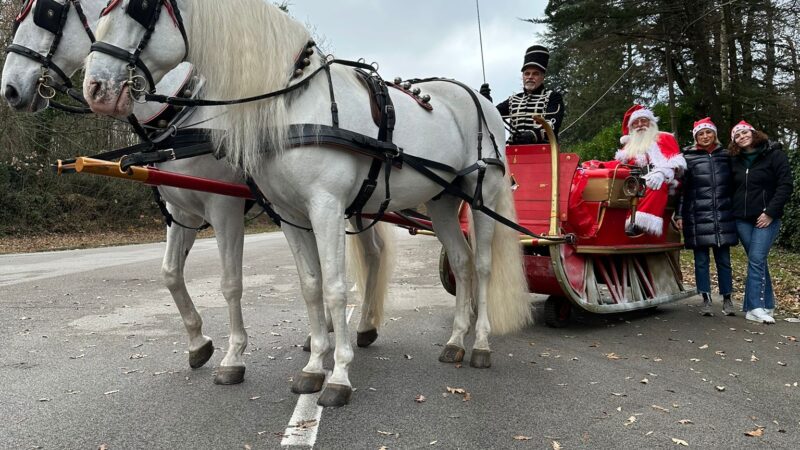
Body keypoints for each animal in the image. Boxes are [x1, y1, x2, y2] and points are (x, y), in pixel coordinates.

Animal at [1, 0, 396, 384]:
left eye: (48, 13)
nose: (10, 90)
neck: (181, 119)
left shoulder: (225, 208)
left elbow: (231, 282)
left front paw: (234, 355)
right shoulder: (182, 212)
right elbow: (171, 274)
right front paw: (198, 342)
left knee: (372, 253)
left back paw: (363, 326)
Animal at [83, 0, 532, 408]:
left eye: (139, 9)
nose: (95, 88)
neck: (293, 101)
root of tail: (480, 99)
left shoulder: (322, 206)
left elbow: (334, 289)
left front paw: (339, 375)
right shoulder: (290, 215)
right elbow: (311, 286)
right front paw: (315, 366)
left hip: (481, 194)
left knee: (483, 265)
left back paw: (480, 344)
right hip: (441, 201)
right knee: (460, 261)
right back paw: (455, 340)